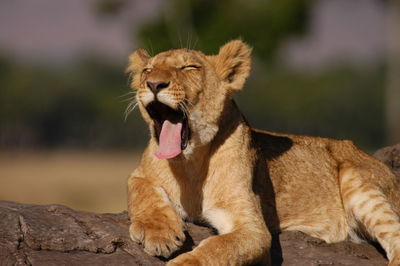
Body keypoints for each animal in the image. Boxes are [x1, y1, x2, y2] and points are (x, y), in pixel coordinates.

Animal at [126, 40, 400, 266]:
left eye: (189, 67)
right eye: (147, 70)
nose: (153, 84)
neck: (189, 163)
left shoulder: (253, 229)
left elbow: (219, 247)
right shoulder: (139, 174)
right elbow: (144, 192)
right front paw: (158, 233)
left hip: (359, 183)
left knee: (395, 237)